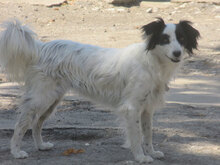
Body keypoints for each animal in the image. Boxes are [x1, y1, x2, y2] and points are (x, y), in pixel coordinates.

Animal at [0, 17, 199, 162]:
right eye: (165, 39)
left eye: (181, 39)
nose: (177, 53)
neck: (152, 63)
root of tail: (41, 47)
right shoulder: (132, 108)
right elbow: (136, 136)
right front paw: (141, 157)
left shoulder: (147, 109)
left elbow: (148, 134)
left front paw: (152, 152)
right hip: (42, 98)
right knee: (21, 125)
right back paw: (16, 152)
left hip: (52, 100)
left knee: (37, 123)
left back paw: (41, 146)